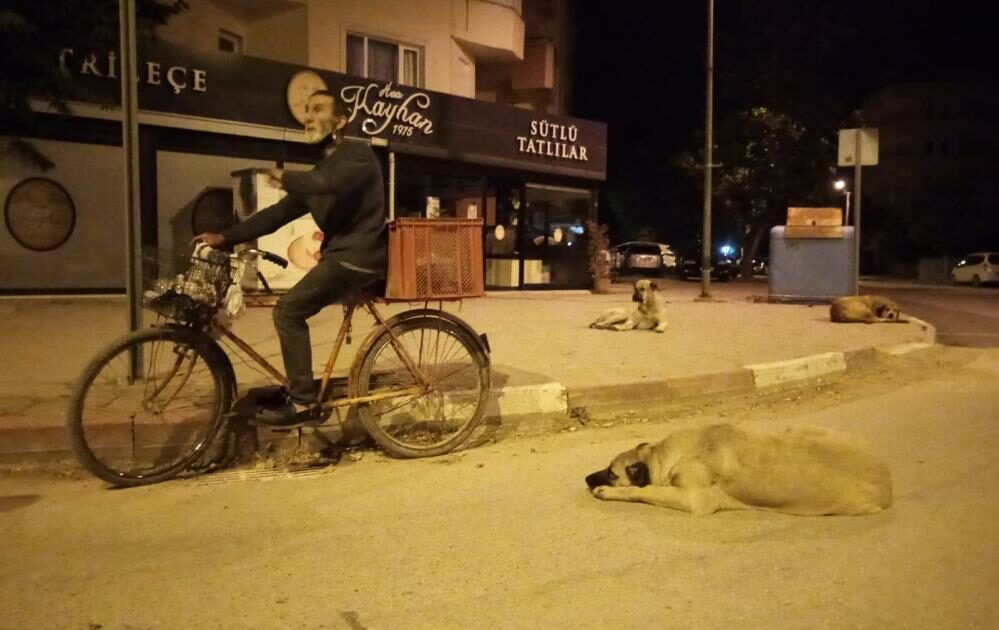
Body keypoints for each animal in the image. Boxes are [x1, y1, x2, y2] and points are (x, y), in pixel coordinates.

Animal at [584, 424, 896, 520]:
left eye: (612, 473)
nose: (586, 478)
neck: (662, 455)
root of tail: (888, 480)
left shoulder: (693, 498)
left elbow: (644, 489)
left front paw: (609, 491)